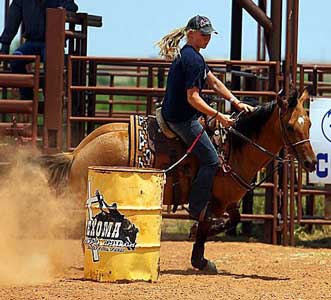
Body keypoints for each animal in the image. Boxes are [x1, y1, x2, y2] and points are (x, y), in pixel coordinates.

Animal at [41, 87, 316, 274]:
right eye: (290, 127)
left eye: (309, 124)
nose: (312, 163)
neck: (235, 147)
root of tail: (77, 152)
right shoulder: (210, 201)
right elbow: (205, 227)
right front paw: (200, 260)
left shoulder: (227, 202)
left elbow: (232, 220)